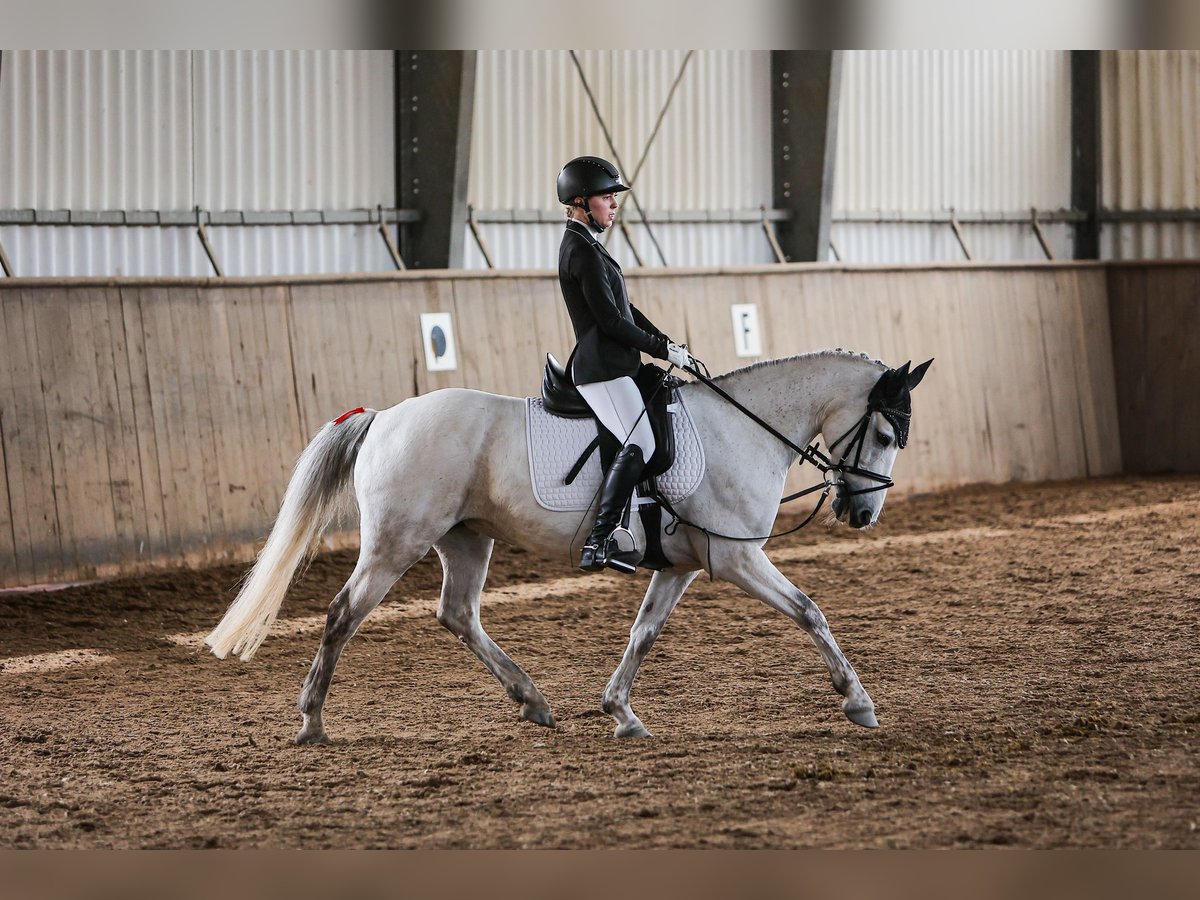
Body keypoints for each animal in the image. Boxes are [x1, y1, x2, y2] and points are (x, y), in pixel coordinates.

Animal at [211, 348, 931, 744]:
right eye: (885, 435)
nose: (863, 514)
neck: (745, 429)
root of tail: (385, 416)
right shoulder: (736, 558)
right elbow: (810, 610)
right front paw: (858, 702)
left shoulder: (684, 566)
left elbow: (644, 633)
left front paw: (621, 712)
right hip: (395, 543)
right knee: (342, 615)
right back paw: (311, 723)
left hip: (465, 540)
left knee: (457, 614)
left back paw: (532, 700)